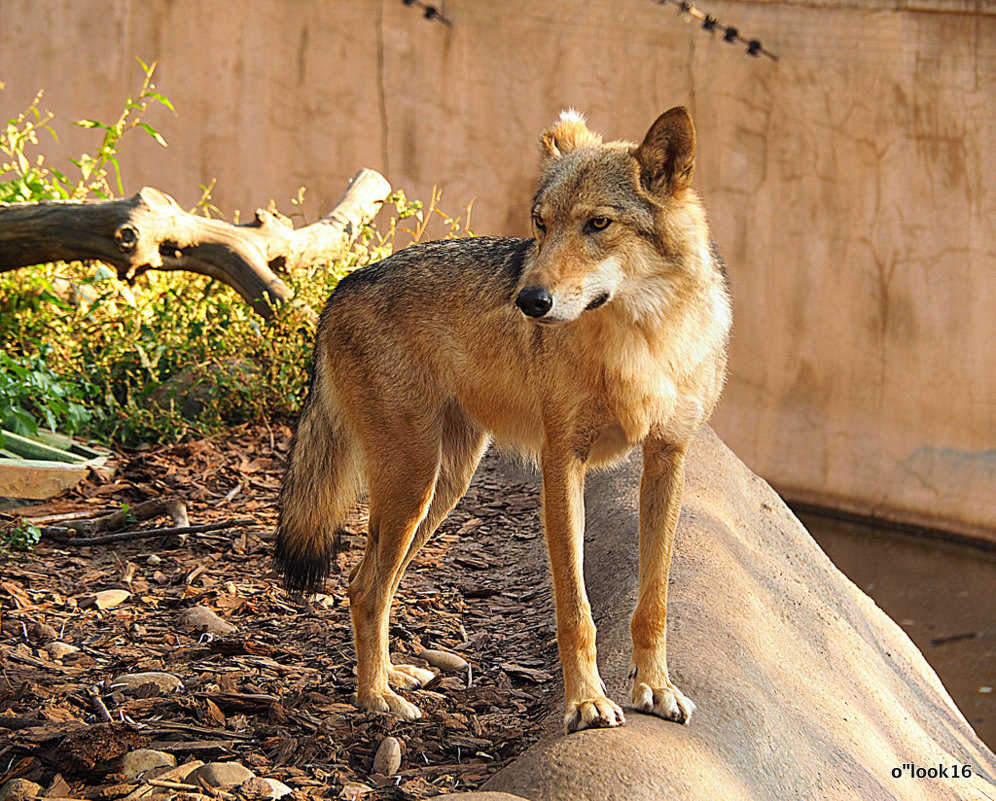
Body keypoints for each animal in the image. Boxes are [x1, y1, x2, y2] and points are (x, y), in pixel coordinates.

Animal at [276, 106, 728, 732]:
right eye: (540, 225)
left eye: (598, 224)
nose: (529, 301)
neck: (641, 340)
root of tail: (343, 285)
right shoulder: (562, 461)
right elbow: (575, 609)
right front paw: (586, 702)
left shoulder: (667, 459)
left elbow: (654, 601)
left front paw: (654, 689)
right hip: (415, 483)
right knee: (365, 586)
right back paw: (375, 698)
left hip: (444, 487)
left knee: (369, 583)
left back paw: (392, 676)